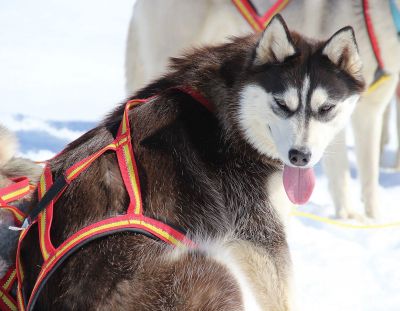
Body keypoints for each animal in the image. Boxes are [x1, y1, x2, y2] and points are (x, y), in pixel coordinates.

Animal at [19, 16, 362, 311]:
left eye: (326, 108)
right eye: (281, 104)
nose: (299, 156)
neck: (232, 113)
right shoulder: (258, 236)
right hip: (213, 273)